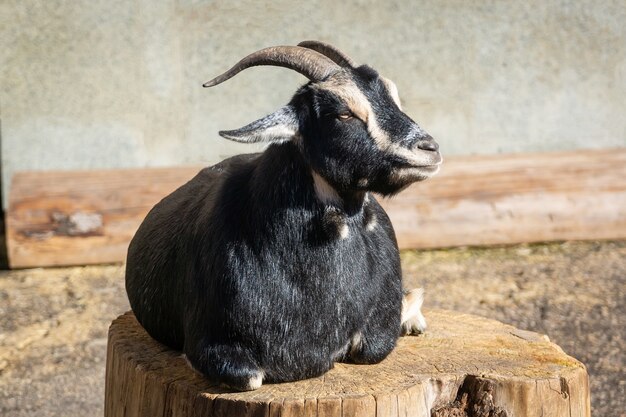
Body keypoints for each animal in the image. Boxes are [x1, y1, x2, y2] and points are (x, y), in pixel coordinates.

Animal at [125, 41, 438, 390]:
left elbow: (374, 348)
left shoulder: (376, 331)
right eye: (343, 112)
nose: (429, 149)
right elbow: (248, 377)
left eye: (394, 98)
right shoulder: (209, 342)